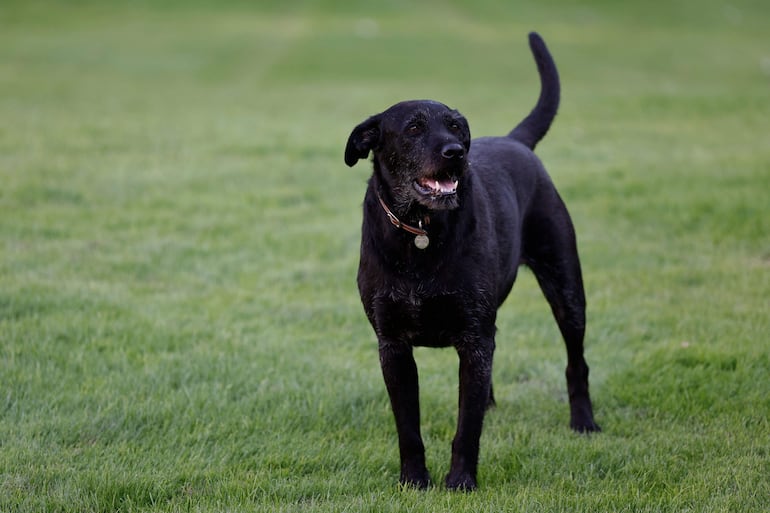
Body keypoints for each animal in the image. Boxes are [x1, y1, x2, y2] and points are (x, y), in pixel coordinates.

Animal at [344, 33, 600, 492]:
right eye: (413, 128)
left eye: (456, 126)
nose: (456, 152)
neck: (421, 232)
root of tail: (516, 140)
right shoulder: (393, 345)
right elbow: (409, 427)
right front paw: (414, 480)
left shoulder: (474, 336)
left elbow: (467, 426)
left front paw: (461, 480)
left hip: (566, 288)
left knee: (577, 361)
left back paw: (583, 422)